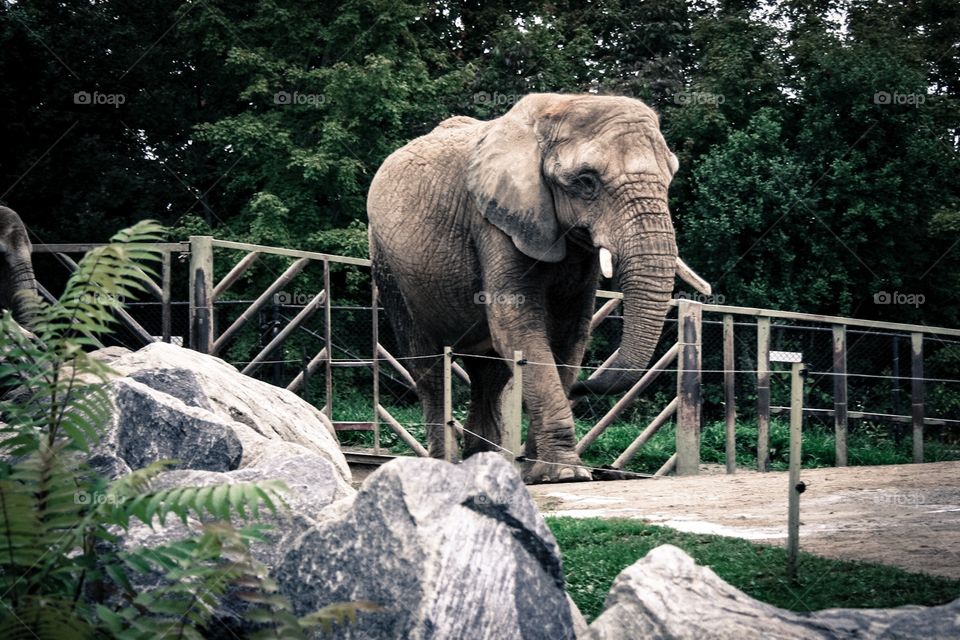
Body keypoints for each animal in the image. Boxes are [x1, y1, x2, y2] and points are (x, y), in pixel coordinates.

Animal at [367, 93, 710, 483]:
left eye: (670, 176)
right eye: (586, 181)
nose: (583, 387)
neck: (555, 111)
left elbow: (569, 334)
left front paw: (540, 474)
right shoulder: (494, 221)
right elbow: (520, 328)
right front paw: (567, 474)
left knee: (489, 374)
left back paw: (487, 465)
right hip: (389, 264)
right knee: (428, 367)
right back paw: (444, 467)